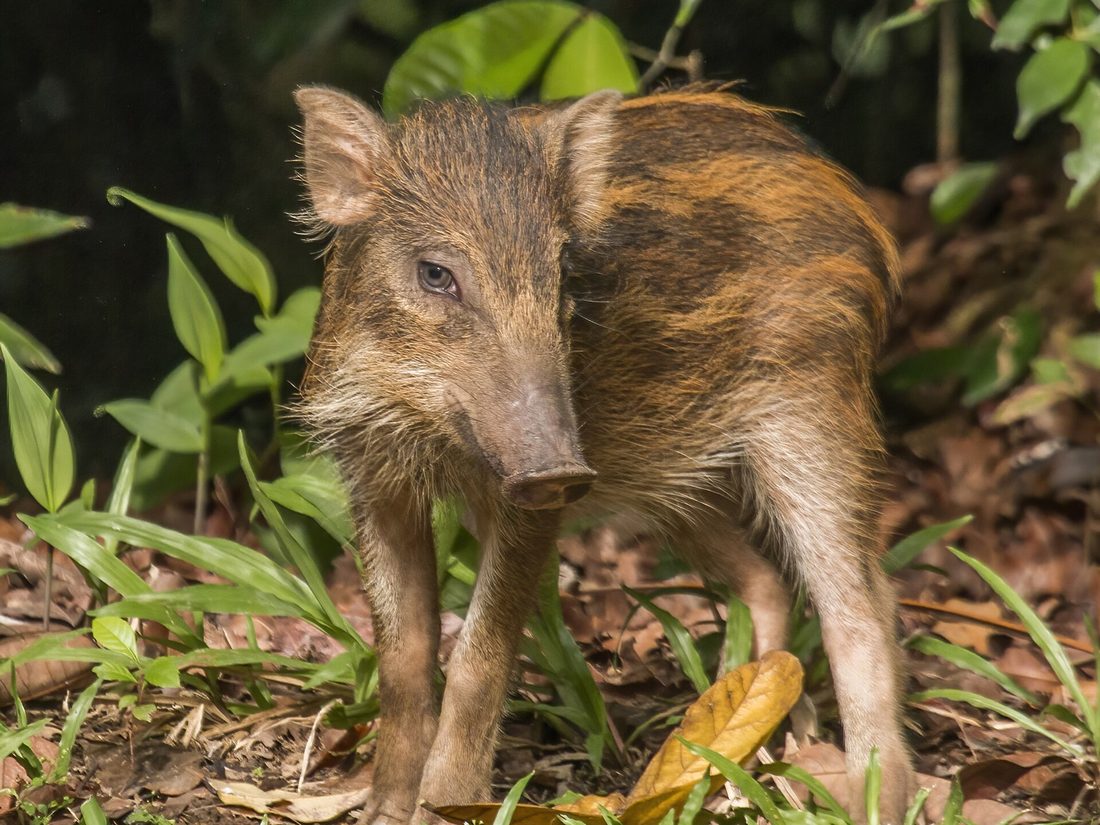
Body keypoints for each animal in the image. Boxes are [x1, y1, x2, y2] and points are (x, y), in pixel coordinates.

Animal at [293, 84, 913, 824]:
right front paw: (385, 810)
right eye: (435, 273)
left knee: (862, 606)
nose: (561, 465)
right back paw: (739, 751)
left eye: (563, 273)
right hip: (682, 484)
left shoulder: (531, 504)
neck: (429, 426)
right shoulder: (373, 475)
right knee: (769, 582)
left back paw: (877, 797)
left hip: (813, 414)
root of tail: (857, 206)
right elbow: (404, 655)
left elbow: (478, 656)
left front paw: (444, 805)